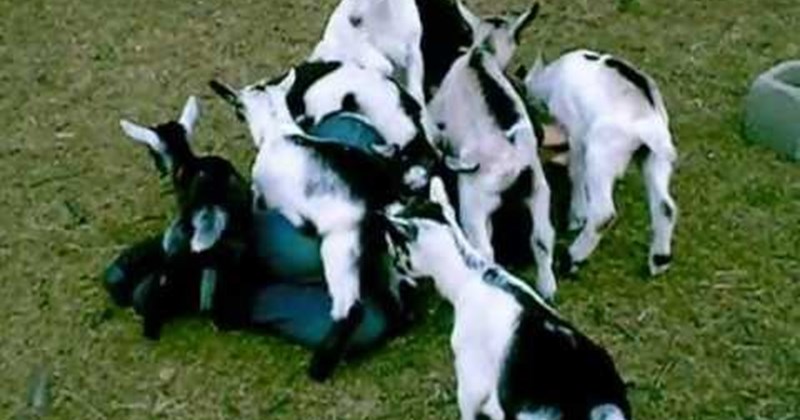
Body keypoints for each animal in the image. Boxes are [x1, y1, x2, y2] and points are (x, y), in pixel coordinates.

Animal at [119, 96, 253, 338]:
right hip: (237, 240)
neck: (187, 163)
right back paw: (226, 321)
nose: (160, 169)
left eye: (151, 151)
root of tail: (212, 192)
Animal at [210, 71, 411, 381]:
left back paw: (319, 368)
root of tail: (381, 195)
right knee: (398, 296)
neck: (278, 130)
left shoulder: (261, 196)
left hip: (339, 247)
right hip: (387, 256)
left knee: (351, 309)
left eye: (238, 108)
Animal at [524, 49, 677, 276]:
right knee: (665, 206)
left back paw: (570, 260)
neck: (552, 76)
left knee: (603, 213)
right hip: (654, 158)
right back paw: (659, 261)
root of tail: (649, 122)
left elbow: (576, 171)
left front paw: (577, 216)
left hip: (602, 155)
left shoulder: (577, 133)